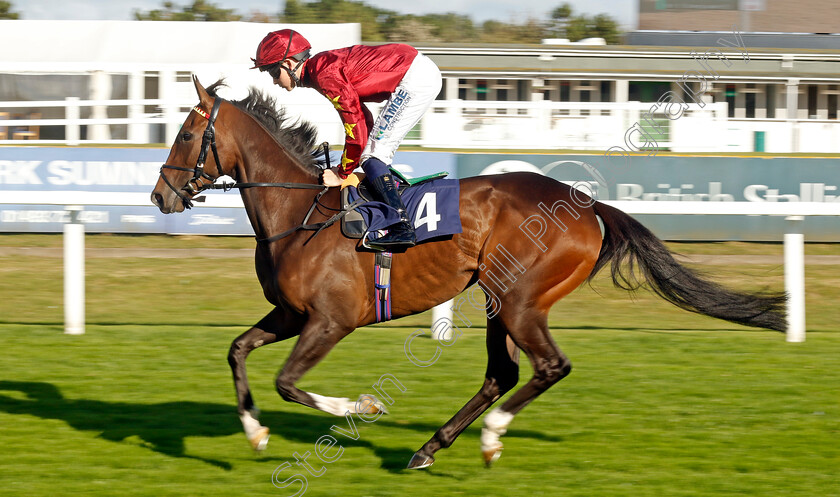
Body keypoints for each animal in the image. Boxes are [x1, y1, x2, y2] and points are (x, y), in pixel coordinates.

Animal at [151, 78, 788, 468]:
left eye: (185, 134)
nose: (160, 195)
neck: (302, 212)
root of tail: (587, 206)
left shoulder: (330, 321)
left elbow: (288, 382)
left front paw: (364, 408)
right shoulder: (289, 313)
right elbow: (237, 350)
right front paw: (255, 432)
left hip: (521, 299)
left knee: (547, 367)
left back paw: (488, 436)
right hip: (497, 299)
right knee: (501, 374)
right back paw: (430, 447)